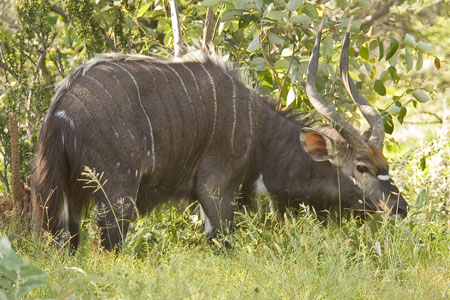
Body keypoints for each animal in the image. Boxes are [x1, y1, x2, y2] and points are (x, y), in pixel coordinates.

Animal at [32, 21, 408, 251]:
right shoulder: (216, 193)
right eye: (361, 167)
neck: (261, 136)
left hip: (68, 197)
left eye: (386, 165)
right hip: (117, 194)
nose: (400, 208)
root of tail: (62, 107)